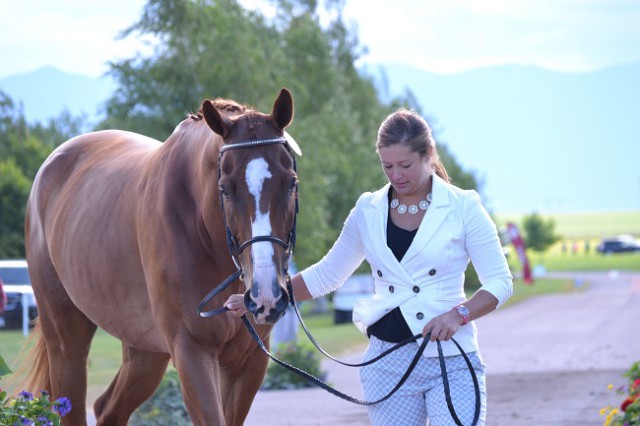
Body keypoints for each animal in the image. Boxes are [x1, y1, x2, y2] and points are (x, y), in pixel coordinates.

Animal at [21, 88, 298, 424]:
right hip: (65, 339)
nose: (265, 295)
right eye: (225, 189)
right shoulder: (192, 352)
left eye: (291, 183)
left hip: (145, 350)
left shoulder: (250, 360)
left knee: (107, 407)